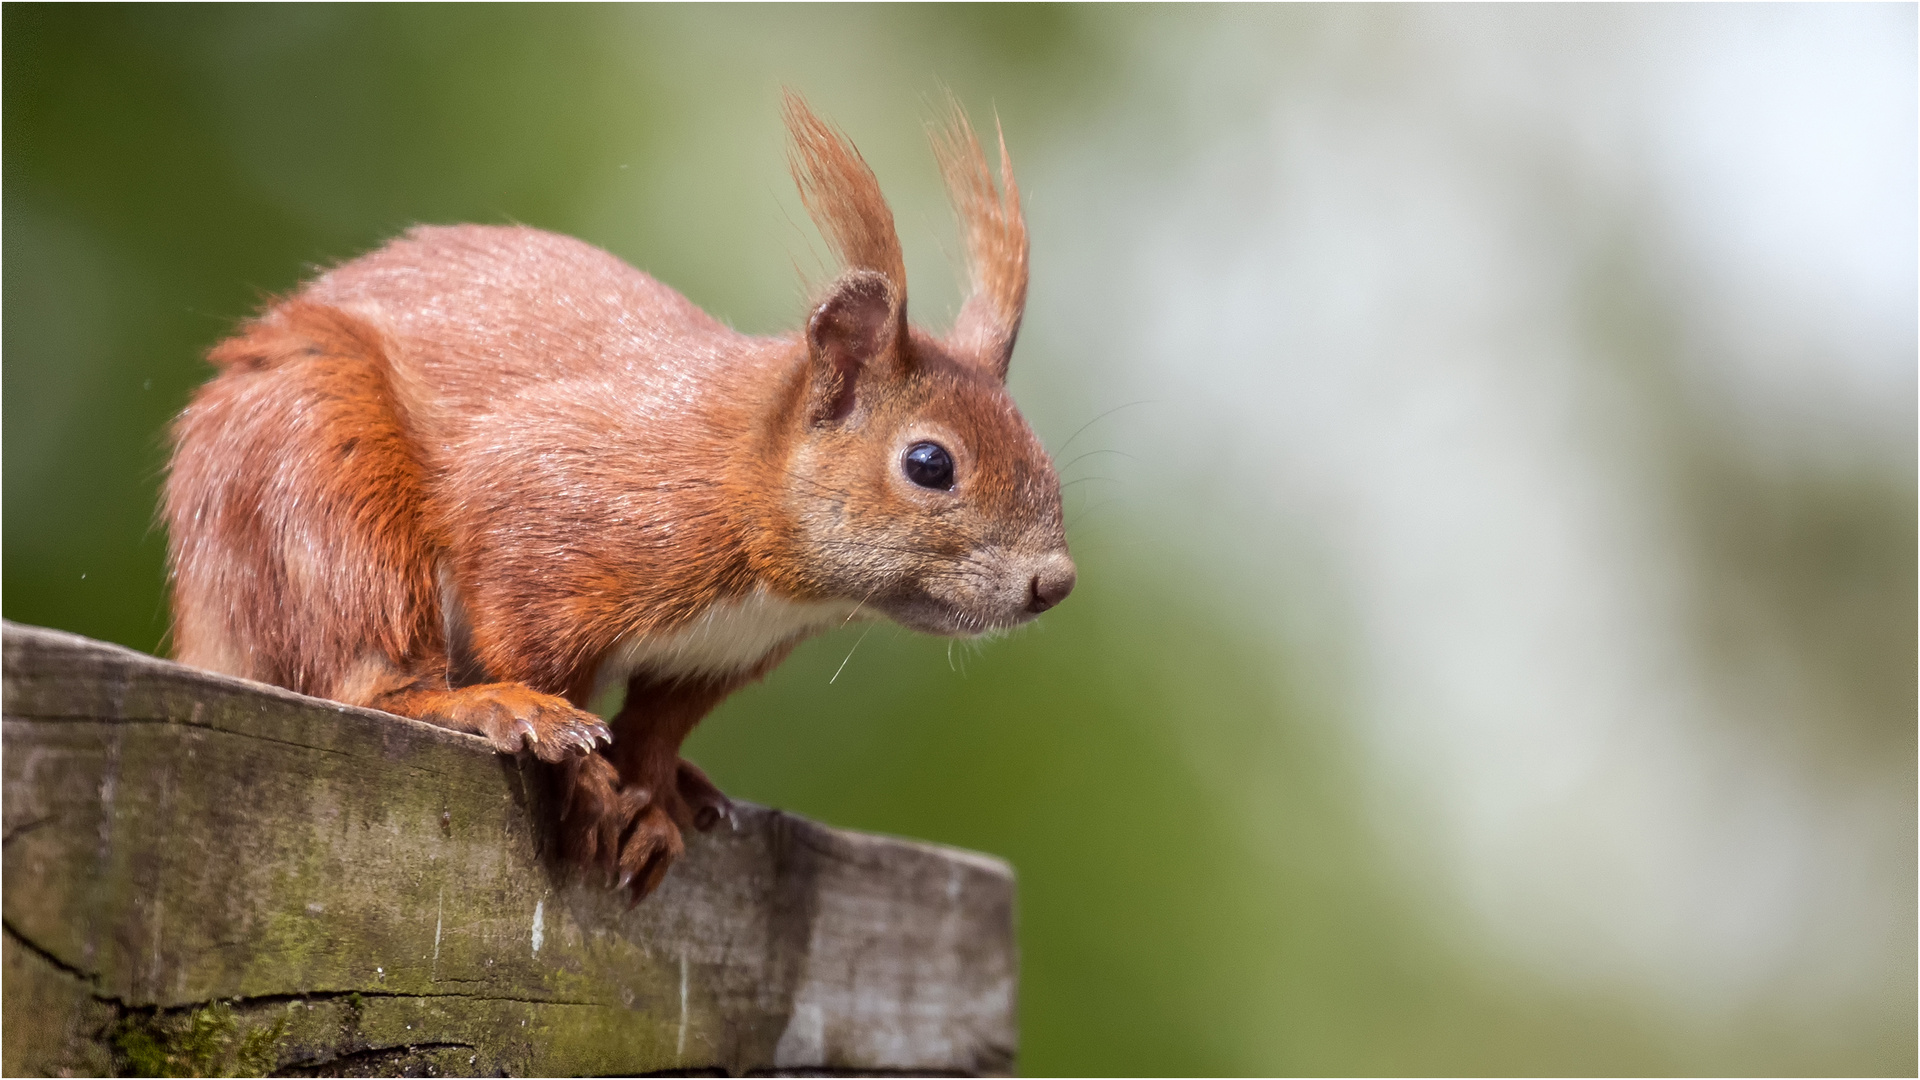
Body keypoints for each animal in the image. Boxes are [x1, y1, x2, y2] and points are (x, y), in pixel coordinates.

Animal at [159, 96, 1075, 895]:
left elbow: (659, 726)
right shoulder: (549, 512)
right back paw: (475, 703)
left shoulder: (717, 653)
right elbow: (534, 647)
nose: (1054, 583)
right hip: (324, 479)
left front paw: (652, 795)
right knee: (366, 674)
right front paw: (585, 778)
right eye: (929, 463)